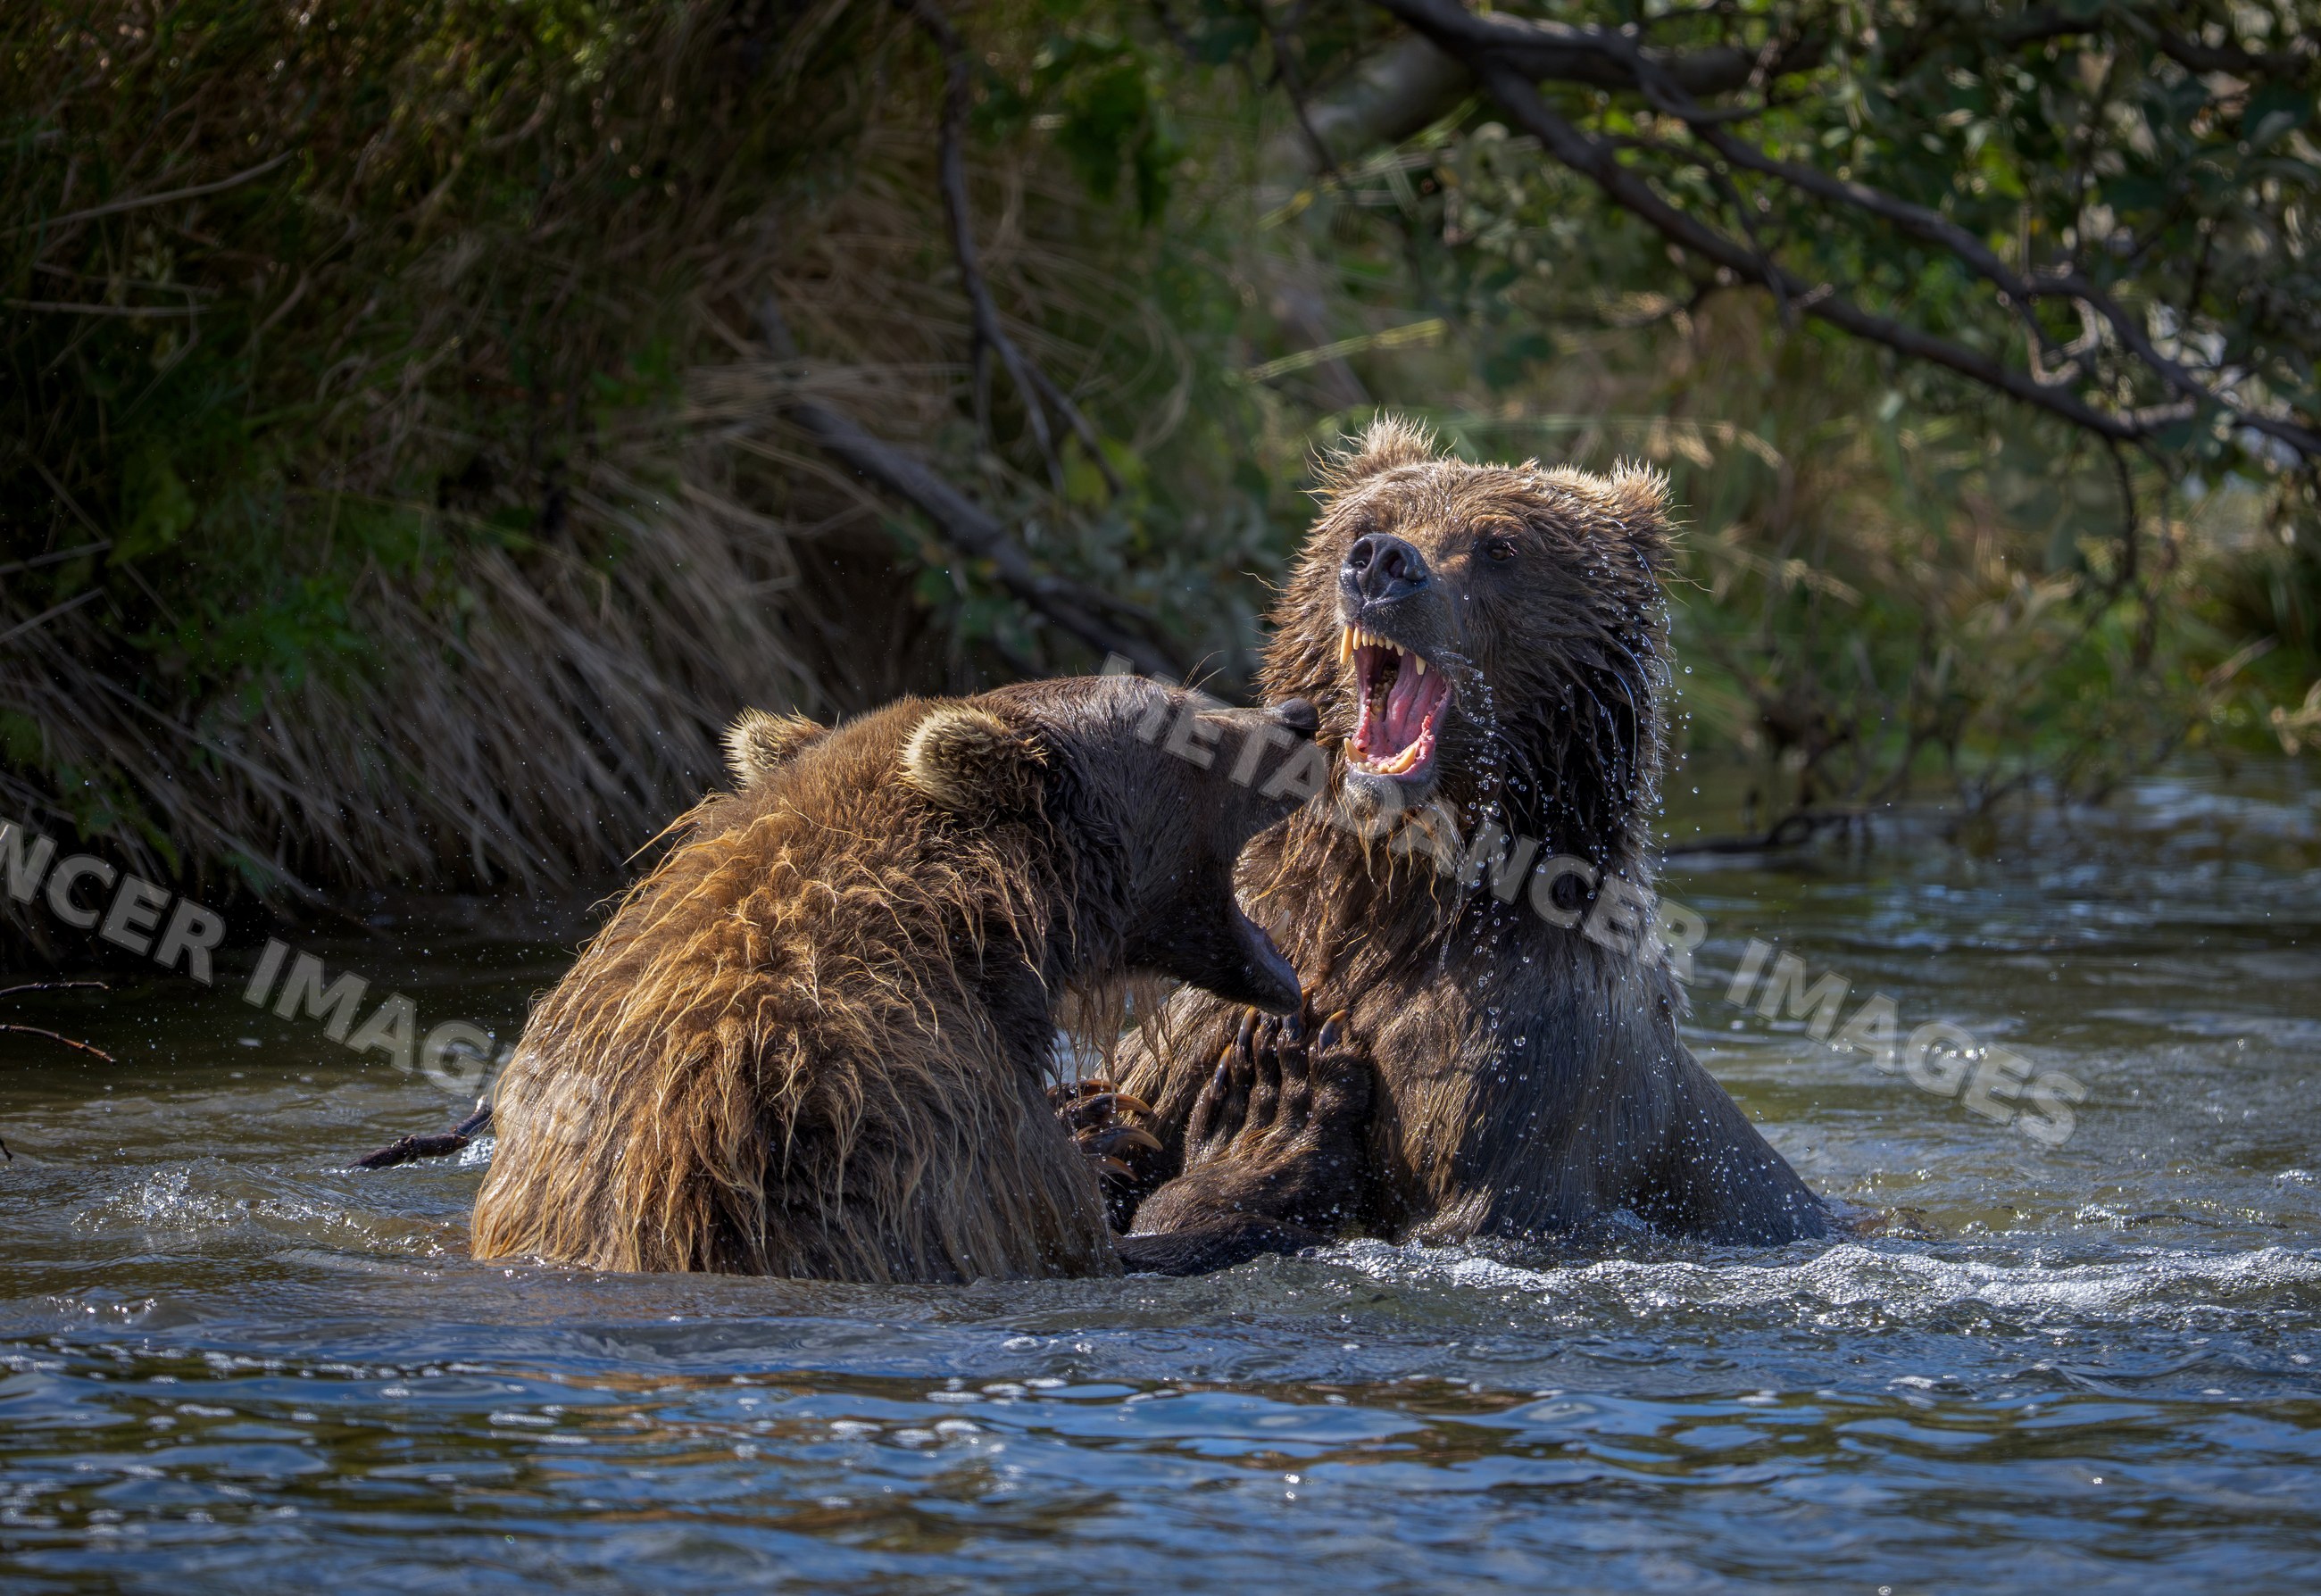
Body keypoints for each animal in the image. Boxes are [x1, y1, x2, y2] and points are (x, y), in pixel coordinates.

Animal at [466, 673, 1367, 1282]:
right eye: (1183, 717)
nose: (1299, 716)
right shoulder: (911, 1122)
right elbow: (1080, 1241)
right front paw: (1271, 1108)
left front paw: (1095, 1113)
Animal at [1107, 418, 1831, 1247]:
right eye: (1364, 521)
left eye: (1501, 546)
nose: (1383, 563)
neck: (1389, 896)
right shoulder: (1225, 996)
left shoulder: (1521, 1058)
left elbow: (1465, 1208)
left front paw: (1266, 1122)